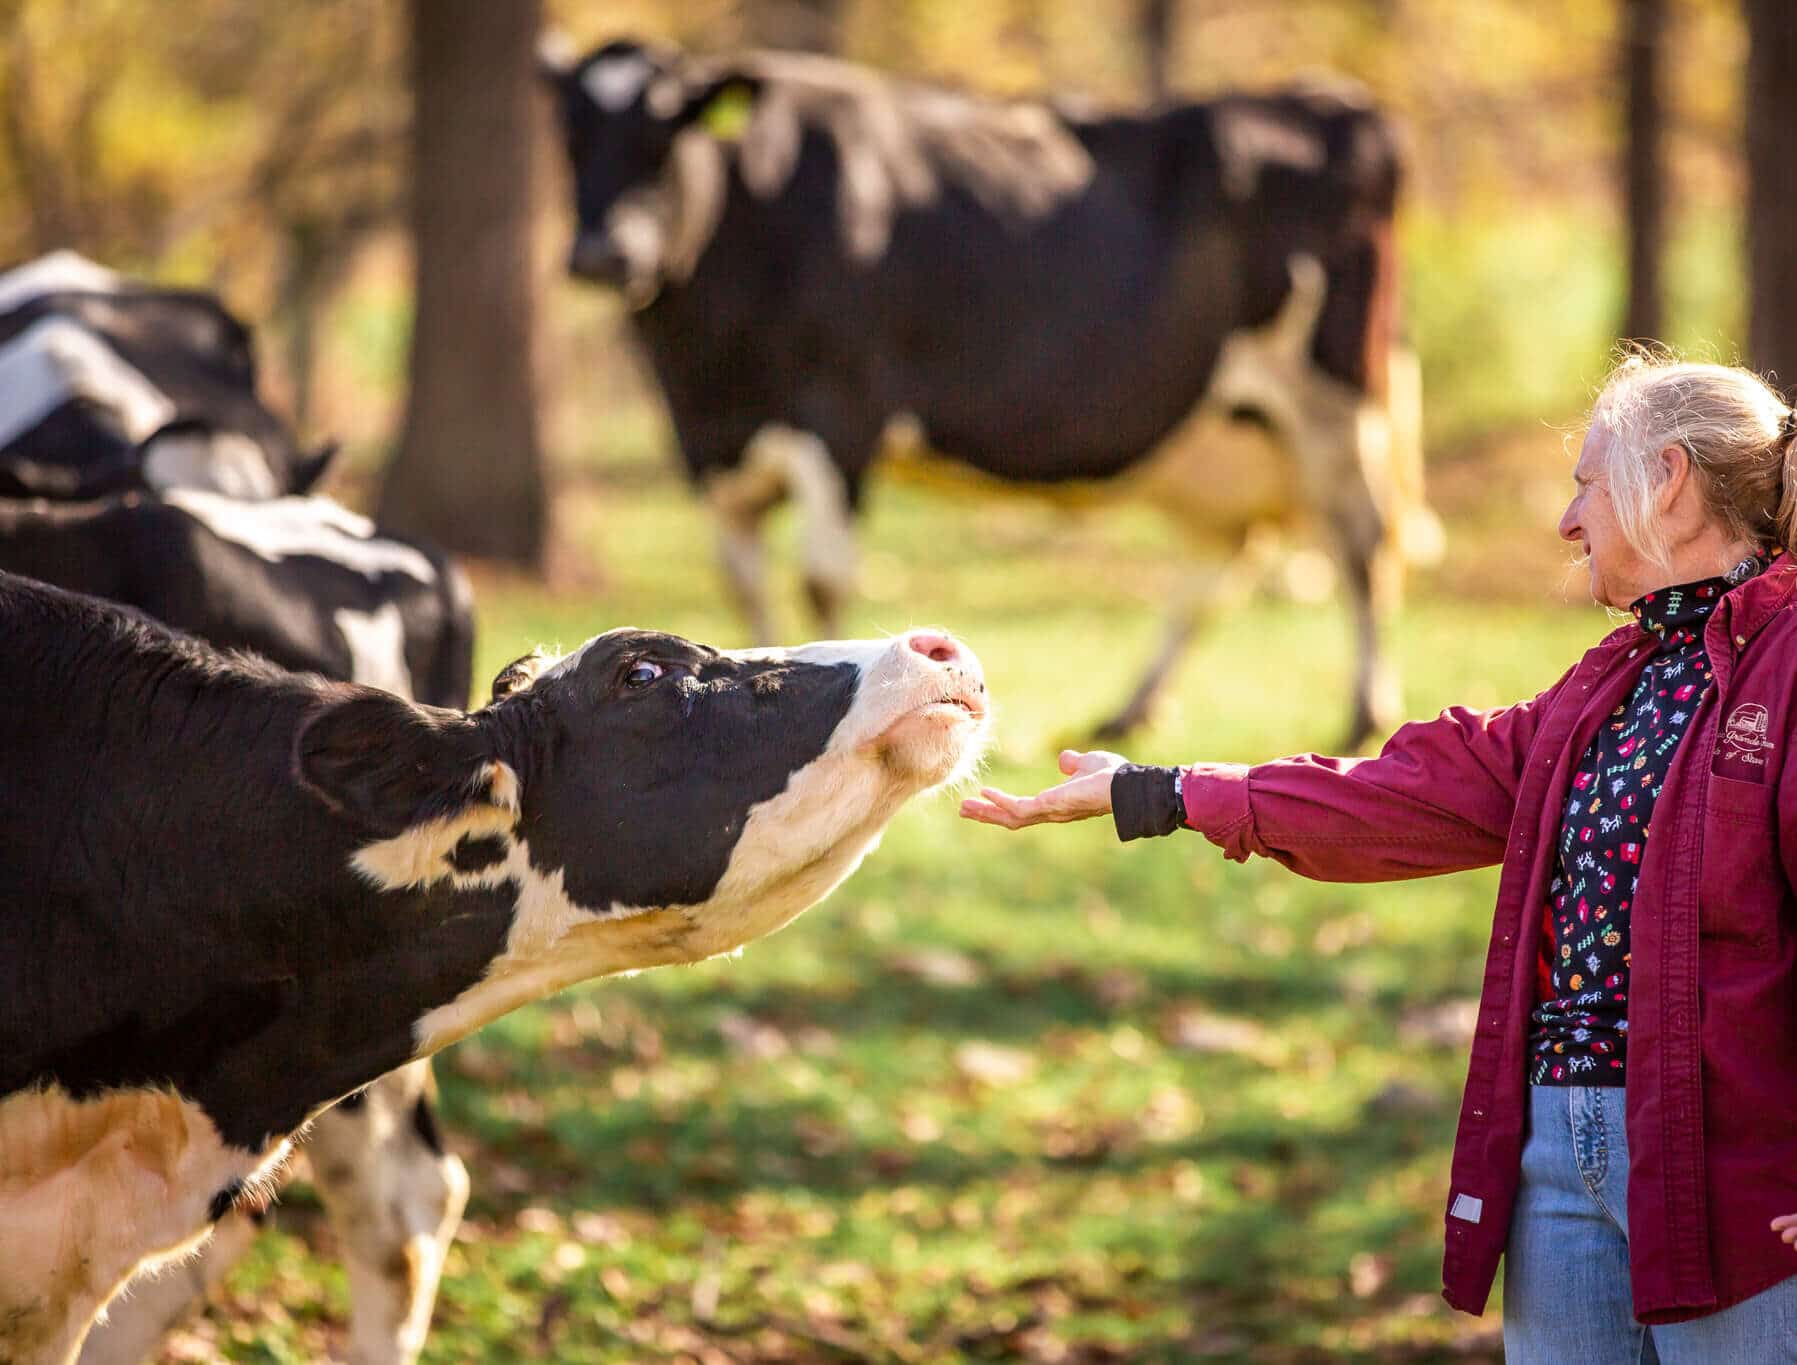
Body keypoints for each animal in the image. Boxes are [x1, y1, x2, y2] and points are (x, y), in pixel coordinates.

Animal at [539, 39, 1437, 747]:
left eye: (665, 133)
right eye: (571, 136)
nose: (602, 253)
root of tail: (1329, 97)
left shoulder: (840, 411)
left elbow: (822, 580)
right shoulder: (705, 437)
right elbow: (742, 583)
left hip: (1335, 394)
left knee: (1362, 539)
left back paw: (1363, 712)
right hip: (1219, 430)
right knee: (1223, 556)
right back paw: (1130, 710)